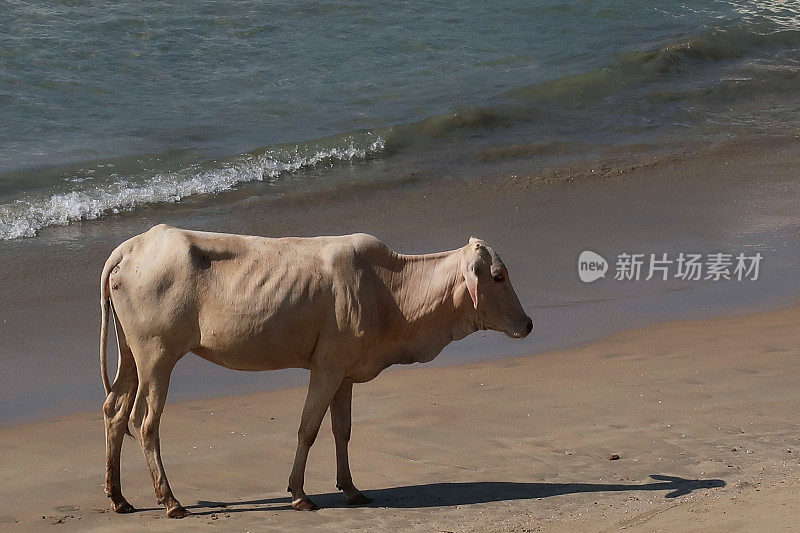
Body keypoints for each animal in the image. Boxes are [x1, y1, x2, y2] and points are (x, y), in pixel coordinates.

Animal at [101, 223, 536, 516]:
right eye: (498, 276)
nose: (529, 323)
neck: (390, 291)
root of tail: (131, 247)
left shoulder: (345, 371)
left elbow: (342, 431)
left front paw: (351, 489)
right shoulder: (327, 366)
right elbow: (308, 429)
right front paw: (299, 494)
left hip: (132, 356)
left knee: (114, 411)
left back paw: (119, 497)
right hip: (157, 355)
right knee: (144, 421)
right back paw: (170, 501)